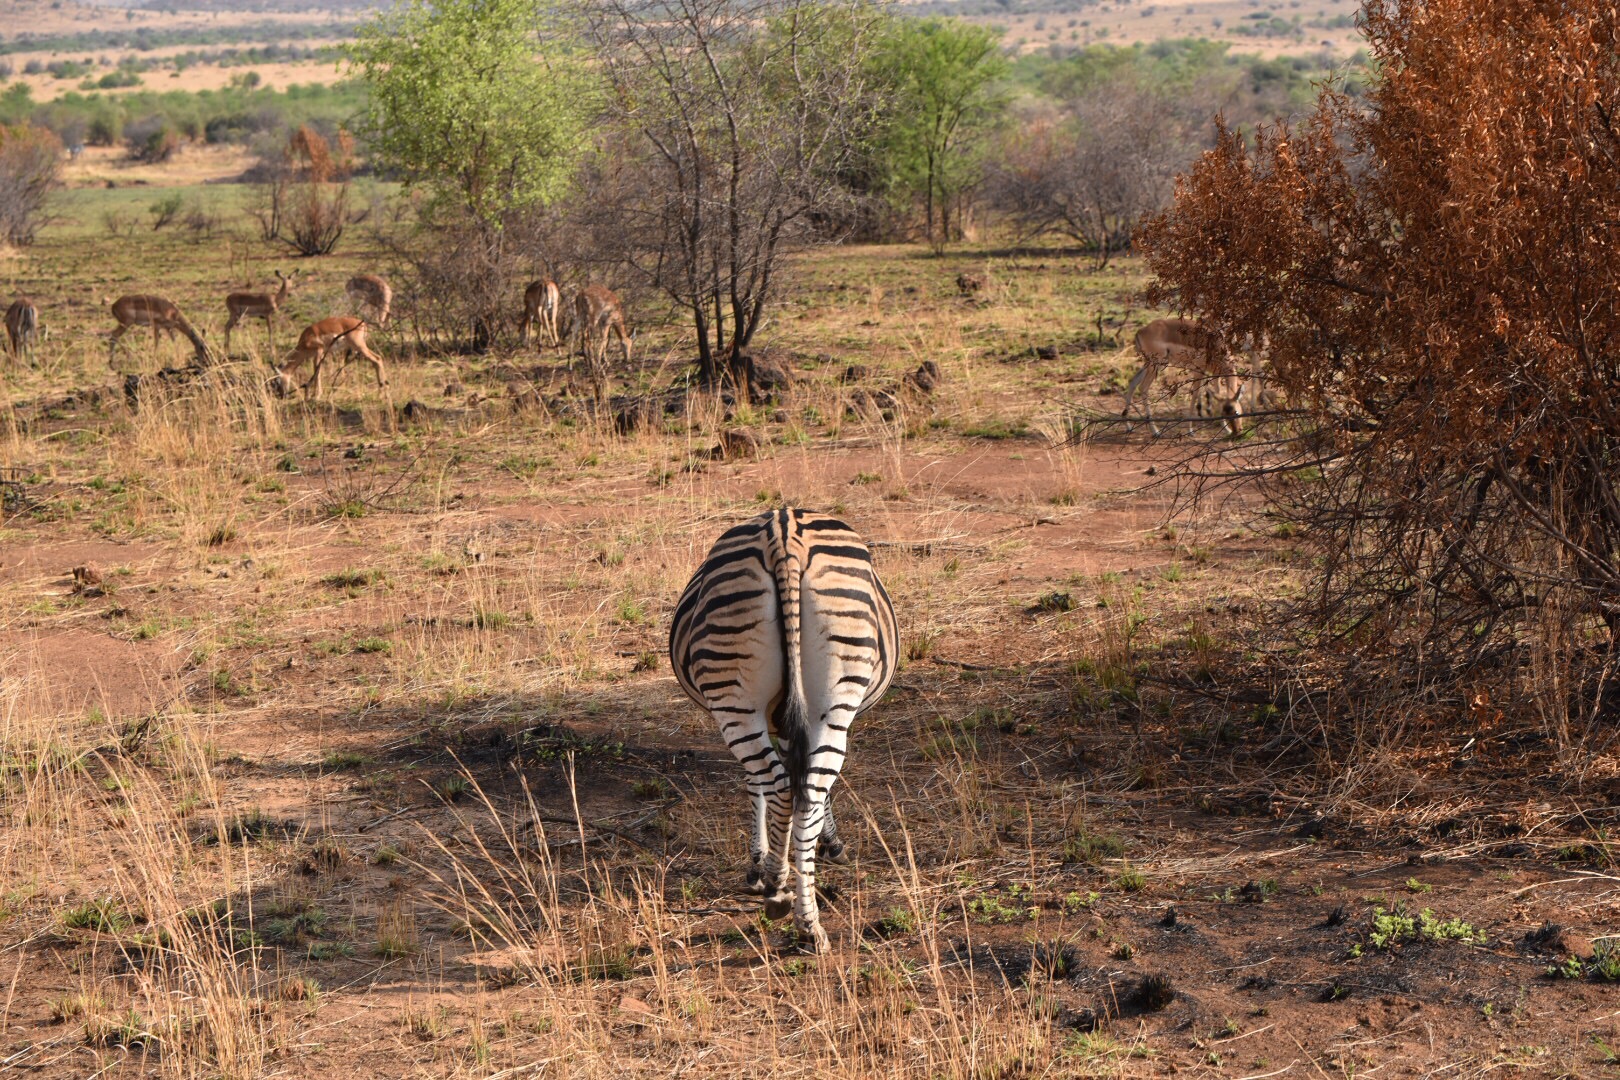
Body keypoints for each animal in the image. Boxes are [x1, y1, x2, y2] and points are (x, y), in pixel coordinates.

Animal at [667, 511, 900, 952]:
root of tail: (784, 532)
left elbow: (769, 784)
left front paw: (763, 862)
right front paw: (819, 845)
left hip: (740, 700)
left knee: (784, 787)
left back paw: (790, 901)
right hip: (822, 701)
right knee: (796, 789)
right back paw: (795, 906)